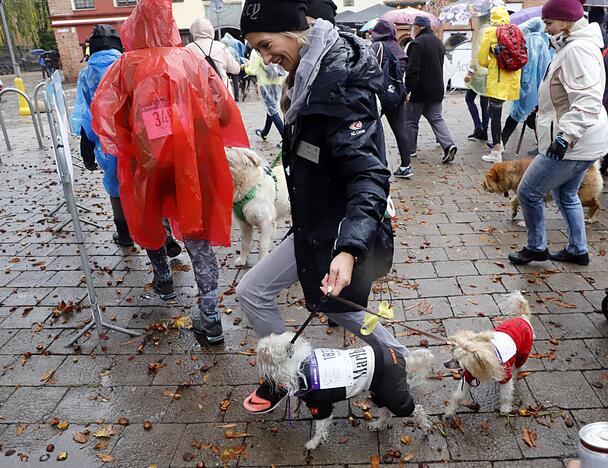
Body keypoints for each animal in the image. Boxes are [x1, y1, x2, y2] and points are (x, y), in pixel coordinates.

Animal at [254, 330, 434, 452]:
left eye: (266, 349)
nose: (259, 344)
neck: (301, 366)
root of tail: (405, 359)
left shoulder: (321, 407)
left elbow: (320, 429)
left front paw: (313, 443)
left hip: (395, 396)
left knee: (417, 409)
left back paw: (425, 428)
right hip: (381, 392)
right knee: (385, 411)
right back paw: (377, 425)